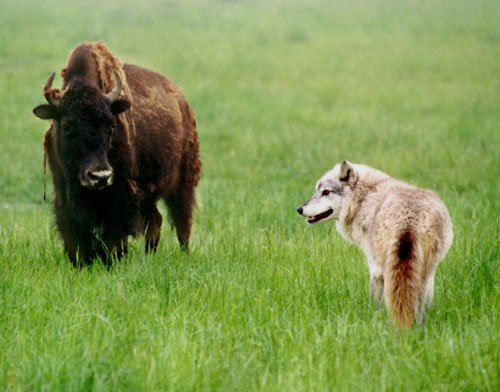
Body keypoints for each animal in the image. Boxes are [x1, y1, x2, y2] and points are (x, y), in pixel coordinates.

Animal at [32, 41, 201, 264]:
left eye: (111, 125)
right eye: (67, 126)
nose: (99, 176)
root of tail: (182, 101)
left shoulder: (121, 197)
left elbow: (114, 238)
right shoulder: (64, 195)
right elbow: (76, 239)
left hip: (182, 184)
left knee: (182, 223)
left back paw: (183, 255)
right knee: (156, 221)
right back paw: (149, 257)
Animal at [296, 161, 454, 330]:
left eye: (326, 192)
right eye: (317, 191)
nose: (299, 209)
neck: (364, 198)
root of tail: (408, 220)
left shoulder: (375, 270)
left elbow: (374, 304)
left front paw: (372, 322)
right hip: (426, 275)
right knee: (420, 311)